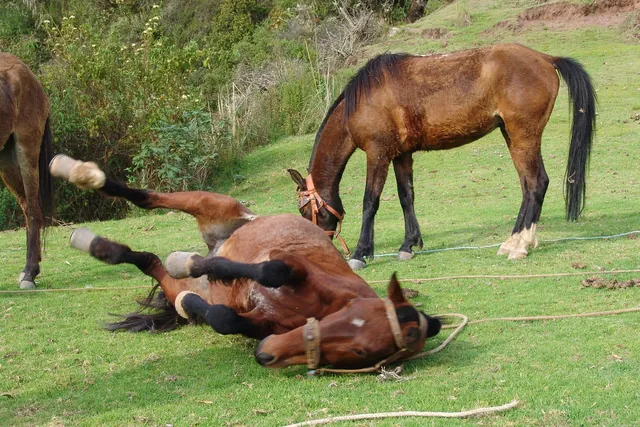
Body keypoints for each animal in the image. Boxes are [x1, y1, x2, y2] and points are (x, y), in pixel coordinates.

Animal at [50, 155, 441, 369]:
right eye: (354, 337)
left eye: (361, 351)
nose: (266, 353)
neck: (318, 304)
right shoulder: (292, 264)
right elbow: (272, 269)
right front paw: (191, 262)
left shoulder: (260, 322)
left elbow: (224, 319)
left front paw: (194, 302)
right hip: (211, 203)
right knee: (145, 198)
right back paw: (73, 171)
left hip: (176, 273)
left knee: (149, 261)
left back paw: (99, 245)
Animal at [287, 43, 596, 270]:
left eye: (305, 212)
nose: (316, 249)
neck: (363, 100)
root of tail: (545, 58)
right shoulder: (402, 155)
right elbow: (406, 197)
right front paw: (408, 245)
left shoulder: (378, 154)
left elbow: (370, 202)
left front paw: (361, 253)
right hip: (512, 137)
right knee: (527, 187)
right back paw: (513, 241)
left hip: (524, 138)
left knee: (537, 184)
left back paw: (520, 246)